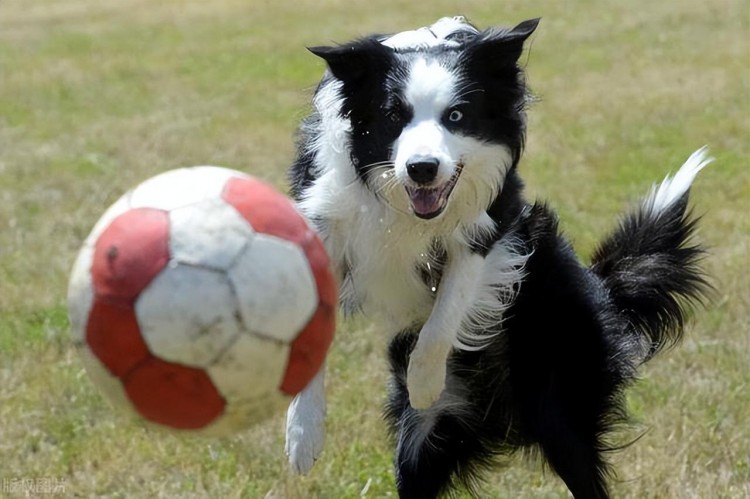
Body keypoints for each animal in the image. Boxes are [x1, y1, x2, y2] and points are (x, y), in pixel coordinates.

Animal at [282, 15, 712, 499]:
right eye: (394, 116)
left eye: (455, 115)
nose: (422, 169)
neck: (402, 205)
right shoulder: (324, 221)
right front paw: (303, 434)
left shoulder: (493, 225)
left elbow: (442, 320)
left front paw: (424, 382)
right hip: (423, 446)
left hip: (562, 407)